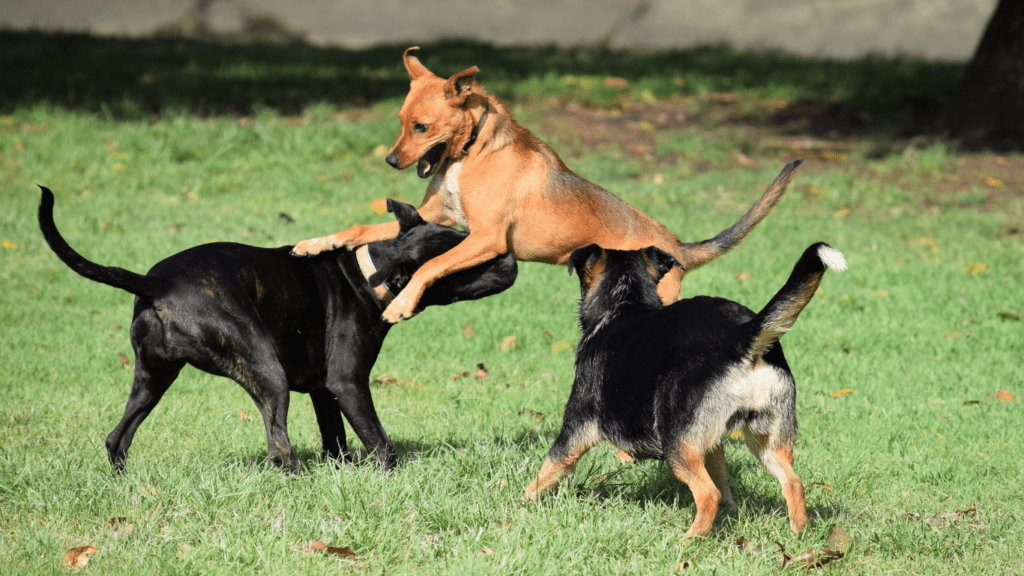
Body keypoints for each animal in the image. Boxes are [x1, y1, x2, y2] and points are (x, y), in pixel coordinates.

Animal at [37, 187, 516, 471]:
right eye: (466, 260)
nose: (510, 256)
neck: (366, 272)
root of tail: (157, 282)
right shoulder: (348, 383)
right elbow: (379, 441)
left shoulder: (325, 391)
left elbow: (336, 440)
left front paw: (341, 471)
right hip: (266, 372)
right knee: (279, 445)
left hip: (152, 379)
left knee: (117, 437)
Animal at [292, 46, 802, 319]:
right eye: (400, 121)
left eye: (421, 127)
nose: (391, 159)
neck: (473, 151)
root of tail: (676, 246)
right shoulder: (432, 218)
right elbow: (359, 229)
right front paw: (316, 242)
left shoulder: (486, 238)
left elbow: (428, 266)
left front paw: (401, 305)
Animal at [524, 238, 843, 532]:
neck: (625, 304)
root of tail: (743, 335)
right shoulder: (710, 442)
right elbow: (723, 478)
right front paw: (731, 512)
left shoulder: (575, 430)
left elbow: (547, 471)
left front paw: (520, 506)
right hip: (768, 440)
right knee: (793, 484)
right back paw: (798, 537)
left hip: (676, 441)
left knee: (708, 494)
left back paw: (689, 542)